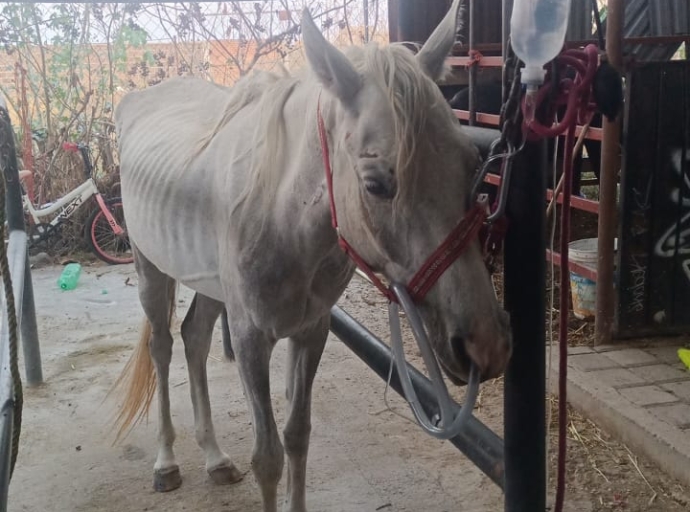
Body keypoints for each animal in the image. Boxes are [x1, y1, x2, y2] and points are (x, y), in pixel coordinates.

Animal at [114, 2, 510, 510]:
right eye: (376, 183)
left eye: (471, 164)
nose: (487, 346)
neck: (281, 216)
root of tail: (135, 102)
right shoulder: (250, 338)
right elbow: (267, 456)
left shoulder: (311, 331)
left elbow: (297, 436)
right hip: (150, 270)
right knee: (162, 348)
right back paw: (166, 463)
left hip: (210, 287)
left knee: (194, 338)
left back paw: (215, 457)